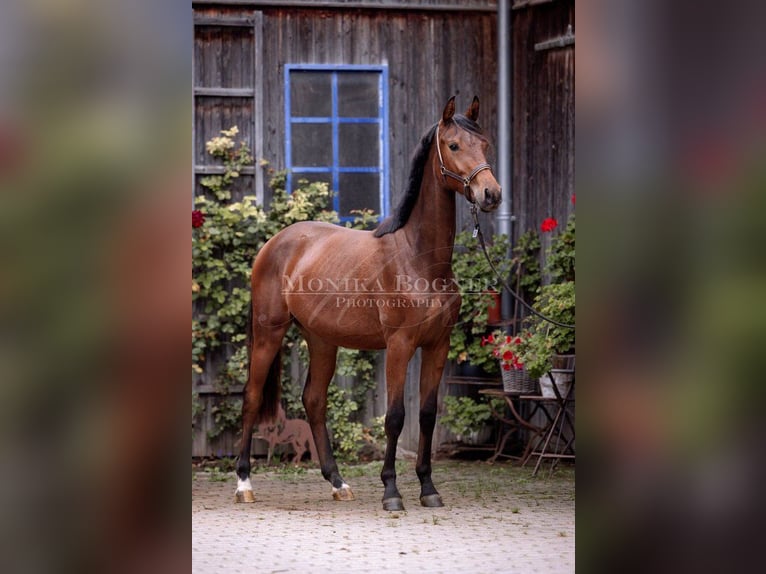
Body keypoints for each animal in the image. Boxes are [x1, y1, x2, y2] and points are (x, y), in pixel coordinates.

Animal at [238, 95, 504, 512]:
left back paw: (338, 483)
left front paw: (428, 488)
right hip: (269, 333)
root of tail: (274, 244)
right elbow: (394, 416)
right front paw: (391, 491)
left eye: (486, 144)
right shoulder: (399, 345)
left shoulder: (437, 346)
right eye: (454, 145)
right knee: (251, 397)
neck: (418, 258)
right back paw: (244, 483)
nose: (490, 194)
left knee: (314, 401)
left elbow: (427, 415)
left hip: (322, 340)